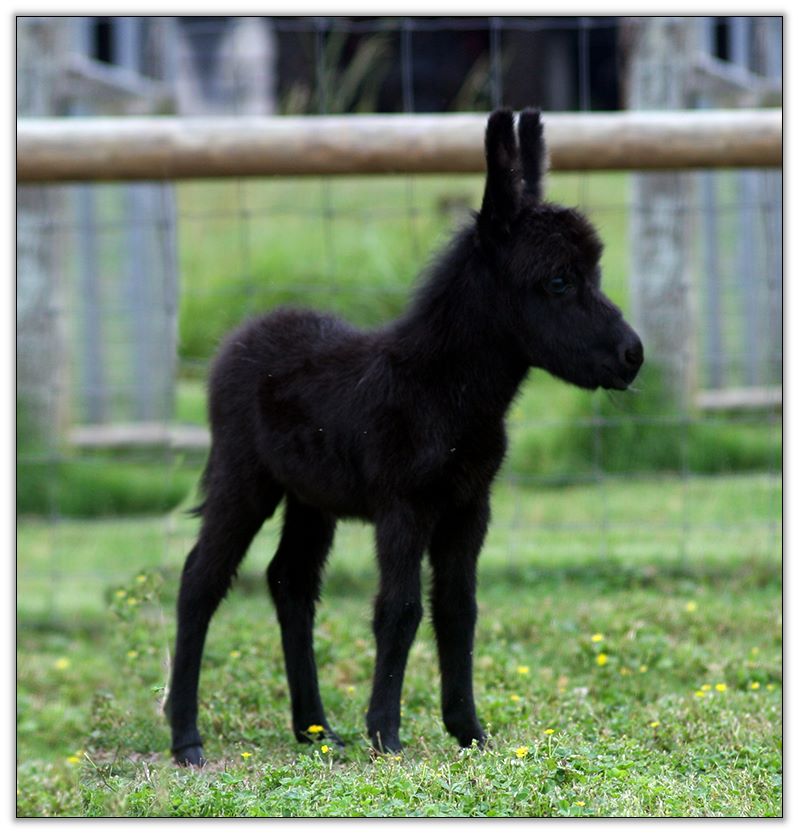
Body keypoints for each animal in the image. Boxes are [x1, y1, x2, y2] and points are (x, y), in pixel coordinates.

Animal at [165, 108, 644, 766]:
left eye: (592, 272)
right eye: (557, 282)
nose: (633, 356)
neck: (440, 390)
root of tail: (245, 333)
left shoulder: (469, 507)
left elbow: (458, 609)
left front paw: (470, 732)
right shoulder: (405, 507)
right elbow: (400, 610)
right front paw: (386, 737)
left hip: (310, 497)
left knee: (290, 582)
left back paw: (315, 729)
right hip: (244, 477)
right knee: (201, 579)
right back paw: (187, 739)